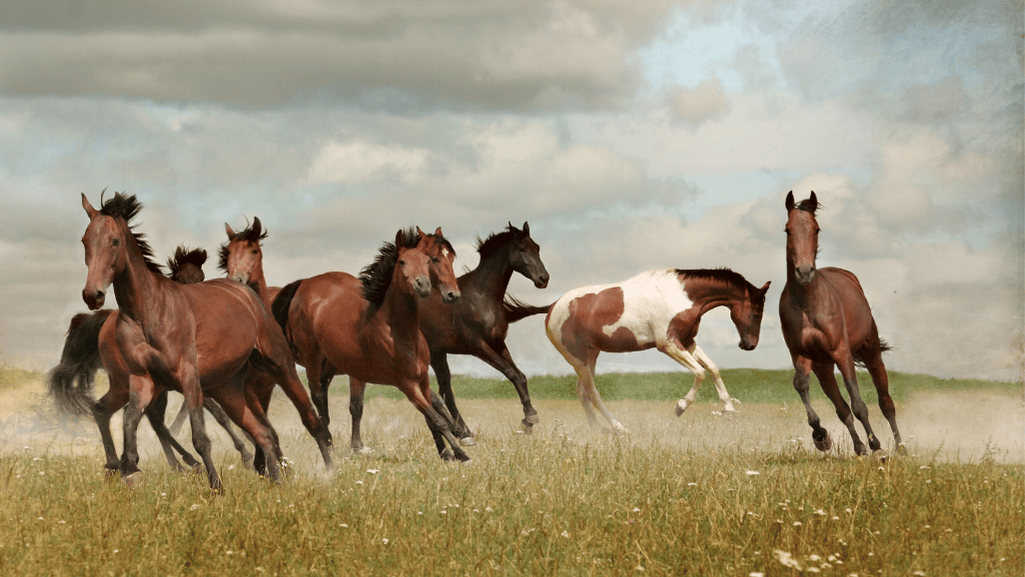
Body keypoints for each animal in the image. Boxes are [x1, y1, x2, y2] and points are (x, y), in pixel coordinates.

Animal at [49, 246, 256, 472]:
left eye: (201, 277)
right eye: (179, 279)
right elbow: (219, 414)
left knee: (146, 418)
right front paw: (246, 453)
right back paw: (182, 462)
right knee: (151, 420)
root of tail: (105, 322)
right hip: (136, 383)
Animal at [271, 228, 471, 461]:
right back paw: (329, 444)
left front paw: (450, 449)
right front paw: (460, 451)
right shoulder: (405, 383)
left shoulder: (419, 379)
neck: (400, 333)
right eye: (402, 262)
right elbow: (435, 418)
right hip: (313, 360)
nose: (452, 294)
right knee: (318, 396)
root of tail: (305, 285)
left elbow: (433, 411)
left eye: (430, 260)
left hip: (330, 367)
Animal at [545, 268, 770, 432]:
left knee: (582, 393)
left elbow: (713, 369)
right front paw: (680, 407)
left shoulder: (687, 341)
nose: (749, 345)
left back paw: (597, 430)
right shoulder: (668, 344)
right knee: (592, 393)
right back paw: (619, 427)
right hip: (578, 360)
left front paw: (729, 411)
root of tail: (553, 307)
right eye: (756, 313)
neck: (680, 295)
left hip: (590, 356)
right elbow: (700, 372)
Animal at [779, 191, 903, 457]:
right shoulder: (801, 354)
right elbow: (802, 385)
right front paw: (821, 436)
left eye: (816, 228)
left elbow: (859, 404)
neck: (808, 303)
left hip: (870, 352)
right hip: (823, 367)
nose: (804, 272)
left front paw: (876, 445)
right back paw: (858, 446)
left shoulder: (841, 352)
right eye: (787, 229)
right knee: (842, 407)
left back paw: (900, 447)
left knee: (885, 403)